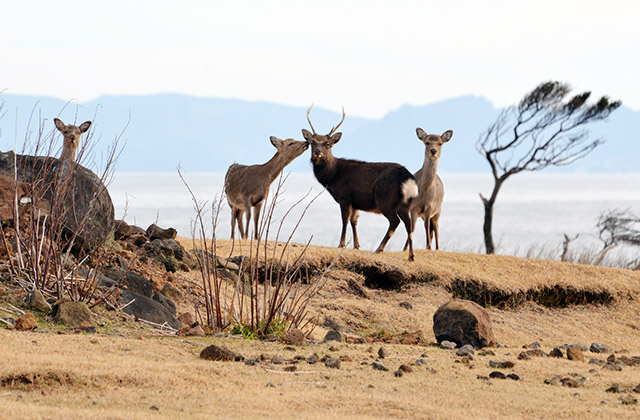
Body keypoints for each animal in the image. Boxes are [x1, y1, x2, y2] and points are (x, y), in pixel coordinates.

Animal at [304, 105, 420, 260]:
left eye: (327, 144)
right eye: (312, 142)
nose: (317, 151)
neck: (332, 177)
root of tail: (408, 179)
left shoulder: (345, 196)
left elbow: (345, 219)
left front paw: (341, 244)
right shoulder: (356, 202)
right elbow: (354, 221)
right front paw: (356, 245)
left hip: (385, 199)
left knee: (395, 222)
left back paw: (379, 249)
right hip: (406, 203)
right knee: (409, 225)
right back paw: (411, 256)